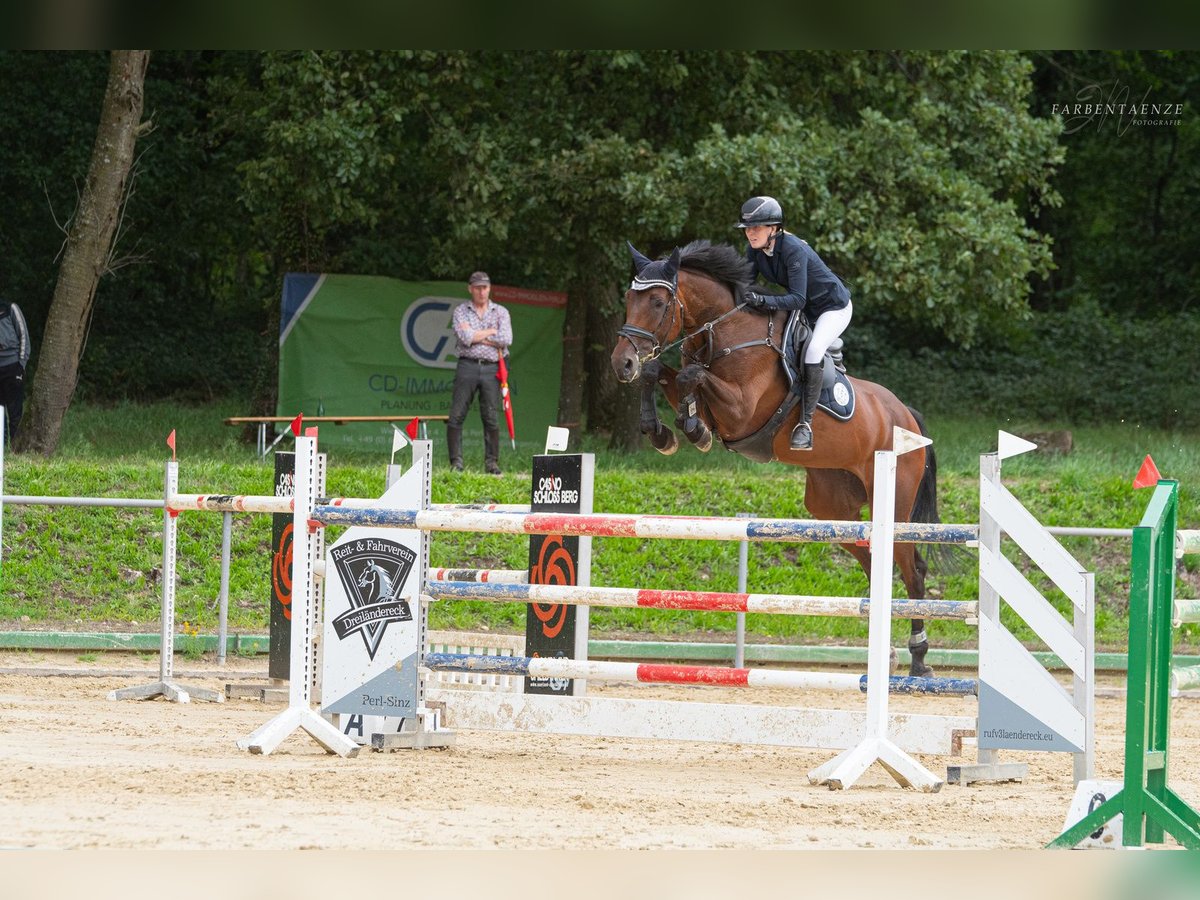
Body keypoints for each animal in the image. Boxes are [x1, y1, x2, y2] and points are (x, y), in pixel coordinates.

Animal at [614, 240, 940, 676]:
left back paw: (919, 659)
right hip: (832, 508)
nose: (621, 363)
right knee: (875, 562)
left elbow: (690, 377)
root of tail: (907, 417)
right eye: (628, 299)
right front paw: (665, 432)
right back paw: (885, 655)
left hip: (895, 500)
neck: (725, 333)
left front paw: (692, 428)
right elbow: (662, 375)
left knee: (911, 566)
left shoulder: (741, 412)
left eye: (657, 301)